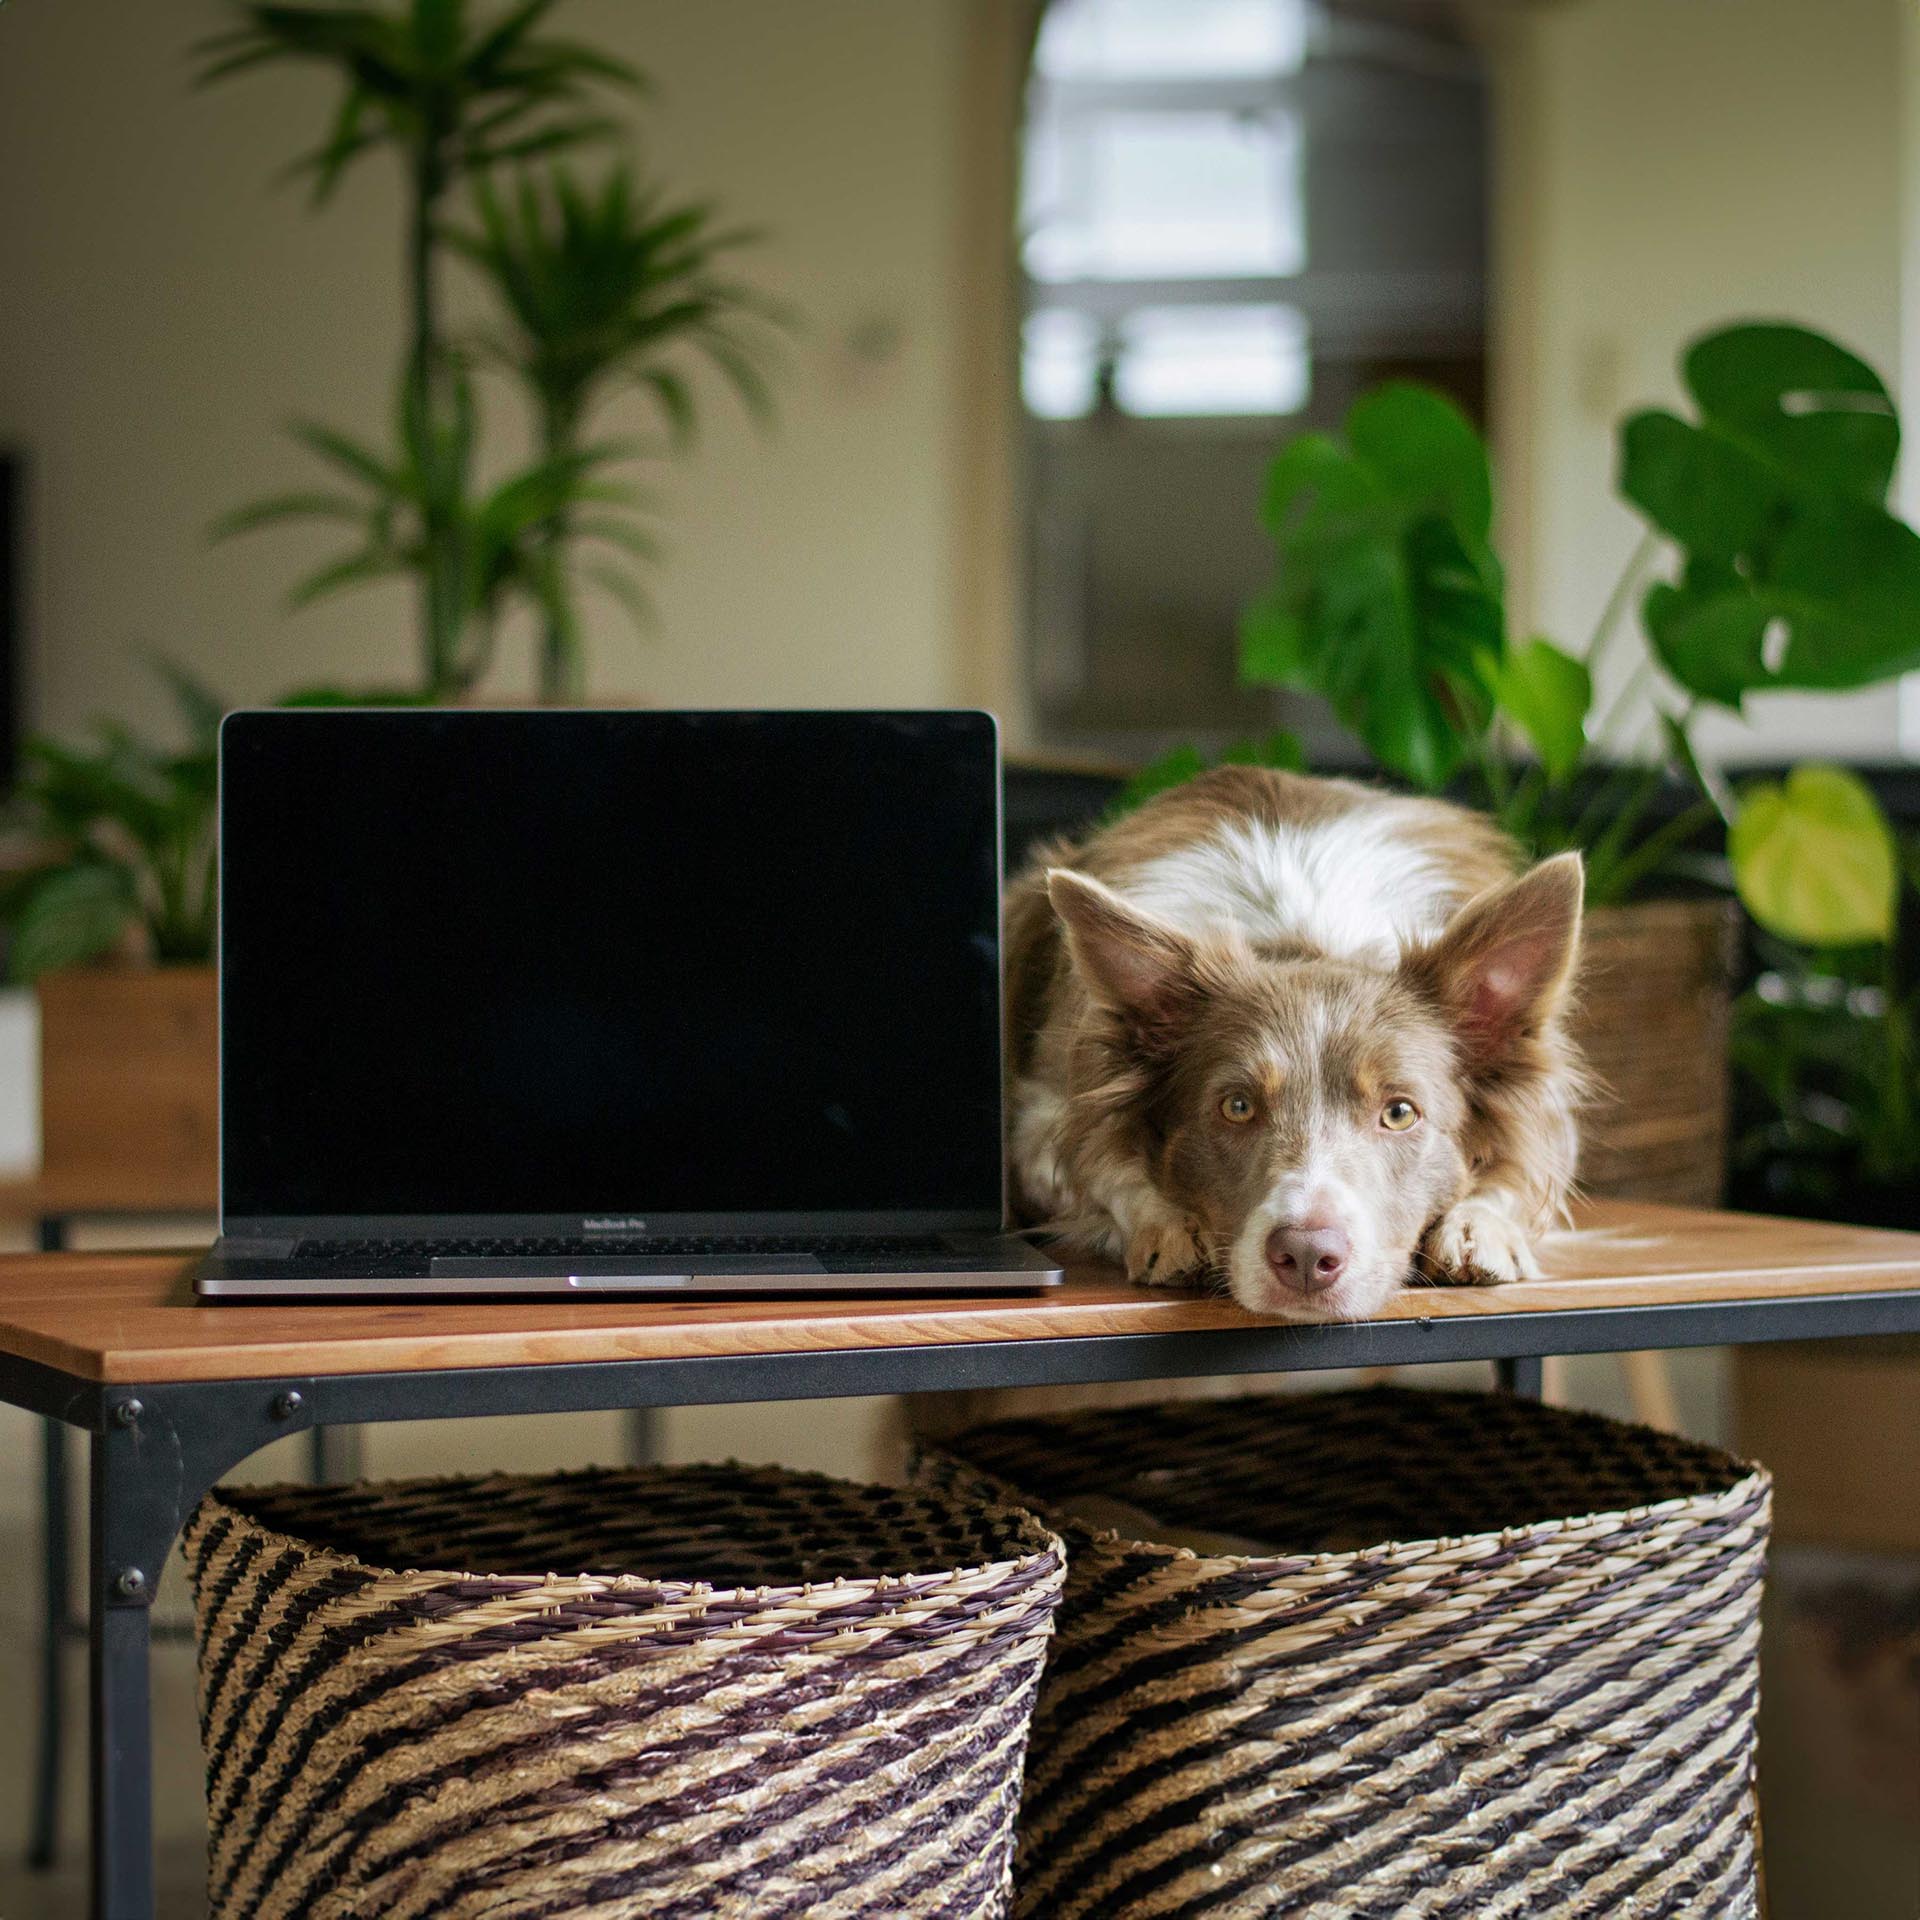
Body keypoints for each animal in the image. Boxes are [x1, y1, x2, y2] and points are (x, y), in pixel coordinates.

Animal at [1006, 764, 1589, 1320]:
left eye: (1400, 1112)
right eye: (1237, 1106)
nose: (1307, 1255)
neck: (1306, 944)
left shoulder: (1548, 1117)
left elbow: (1523, 1173)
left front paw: (1480, 1229)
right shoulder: (1044, 1118)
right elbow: (1101, 1166)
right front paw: (1169, 1224)